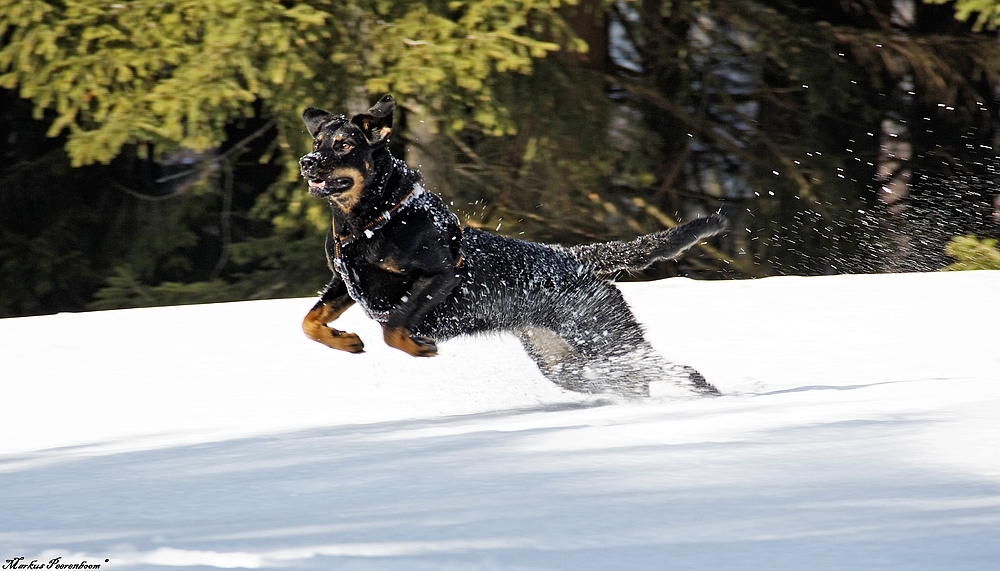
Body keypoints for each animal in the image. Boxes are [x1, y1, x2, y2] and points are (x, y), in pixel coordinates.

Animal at [296, 95, 728, 398]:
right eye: (317, 141)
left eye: (344, 145)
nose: (306, 161)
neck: (369, 224)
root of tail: (576, 257)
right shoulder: (344, 281)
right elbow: (310, 322)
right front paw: (345, 340)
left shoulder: (442, 274)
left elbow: (394, 327)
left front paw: (419, 348)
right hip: (563, 362)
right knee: (632, 381)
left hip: (604, 339)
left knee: (675, 370)